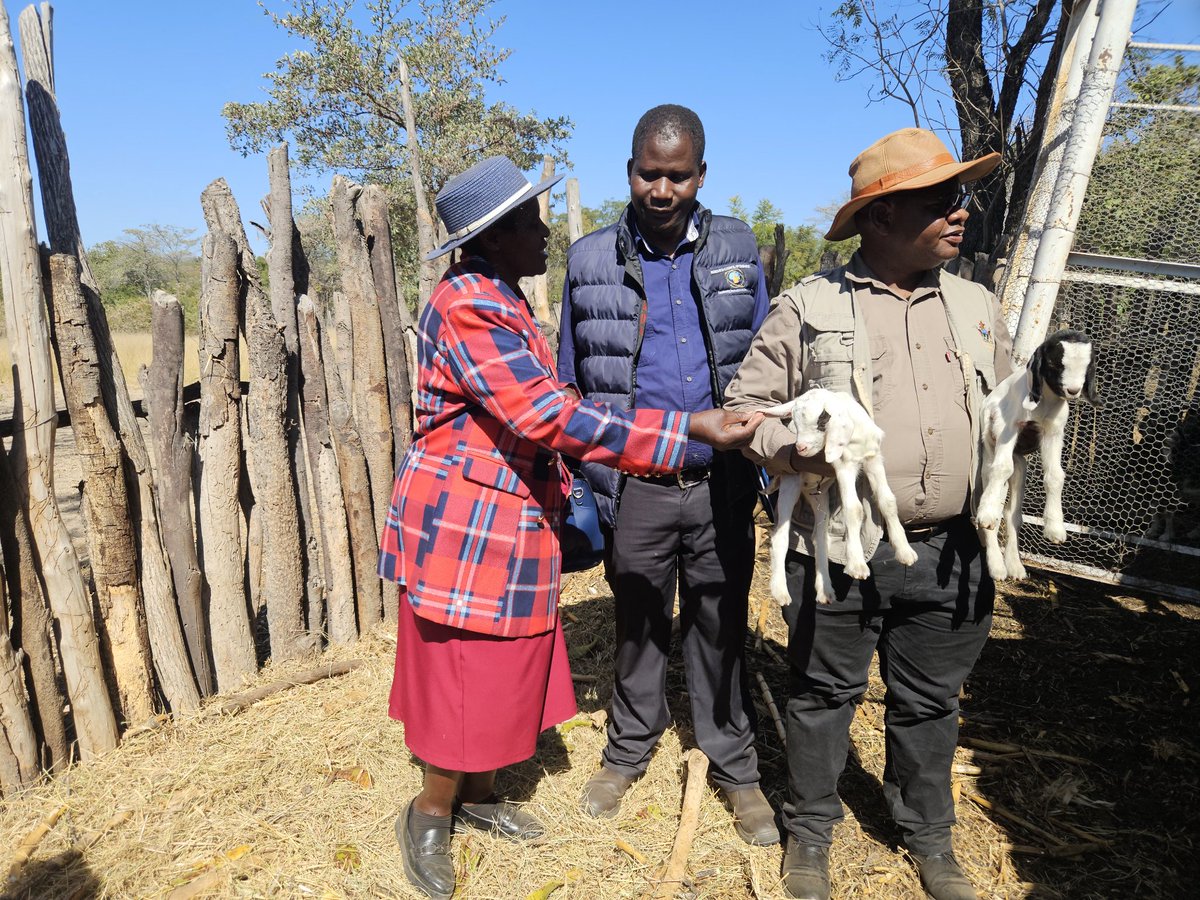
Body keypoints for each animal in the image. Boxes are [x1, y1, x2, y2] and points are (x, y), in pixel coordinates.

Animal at [761, 388, 918, 606]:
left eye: (821, 422)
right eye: (794, 423)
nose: (799, 448)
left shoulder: (873, 459)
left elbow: (888, 501)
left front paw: (905, 552)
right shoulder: (844, 466)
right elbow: (854, 509)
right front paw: (857, 565)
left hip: (820, 496)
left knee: (819, 537)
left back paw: (825, 590)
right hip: (790, 480)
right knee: (780, 536)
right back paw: (780, 591)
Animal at [976, 329, 1100, 580]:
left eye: (1087, 365)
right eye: (1054, 363)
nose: (1073, 391)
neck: (1044, 404)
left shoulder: (1053, 432)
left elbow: (1055, 475)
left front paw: (1055, 527)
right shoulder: (1007, 426)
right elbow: (1001, 469)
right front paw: (986, 513)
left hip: (1020, 466)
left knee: (1013, 515)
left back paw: (1014, 565)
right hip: (988, 451)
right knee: (995, 486)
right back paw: (996, 565)